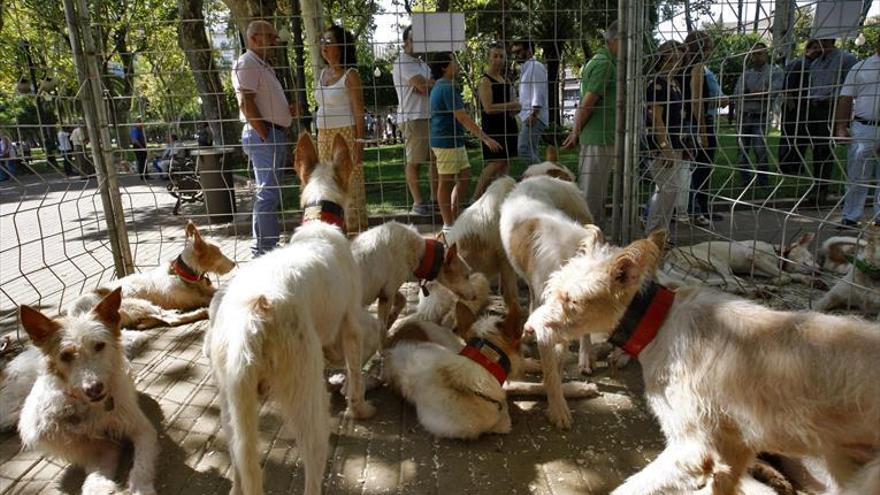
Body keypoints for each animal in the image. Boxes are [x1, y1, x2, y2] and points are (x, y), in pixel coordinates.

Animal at [65, 223, 235, 332]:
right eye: (219, 252)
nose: (234, 264)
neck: (183, 275)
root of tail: (74, 313)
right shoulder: (197, 297)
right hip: (136, 303)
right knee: (171, 320)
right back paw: (200, 312)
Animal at [206, 134, 374, 495]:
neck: (321, 223)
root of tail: (250, 320)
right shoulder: (351, 326)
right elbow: (355, 375)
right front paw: (359, 408)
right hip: (306, 395)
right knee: (312, 470)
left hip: (232, 406)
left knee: (241, 467)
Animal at [524, 232, 880, 495]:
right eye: (553, 290)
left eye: (572, 301)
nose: (529, 330)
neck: (659, 322)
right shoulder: (734, 448)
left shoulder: (691, 449)